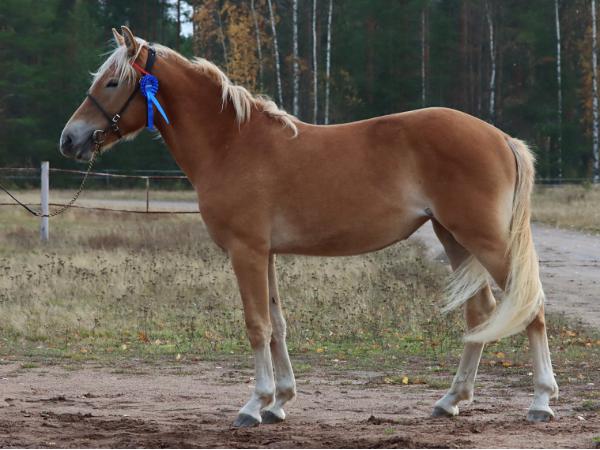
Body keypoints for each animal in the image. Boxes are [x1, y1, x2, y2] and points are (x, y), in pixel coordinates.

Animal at [59, 26, 558, 427]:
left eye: (112, 82)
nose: (70, 139)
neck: (231, 144)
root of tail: (501, 137)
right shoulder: (266, 254)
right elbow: (278, 324)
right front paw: (280, 402)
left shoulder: (246, 251)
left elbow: (256, 325)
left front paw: (253, 405)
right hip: (454, 238)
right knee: (480, 313)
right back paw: (451, 399)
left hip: (485, 240)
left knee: (530, 307)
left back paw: (540, 402)